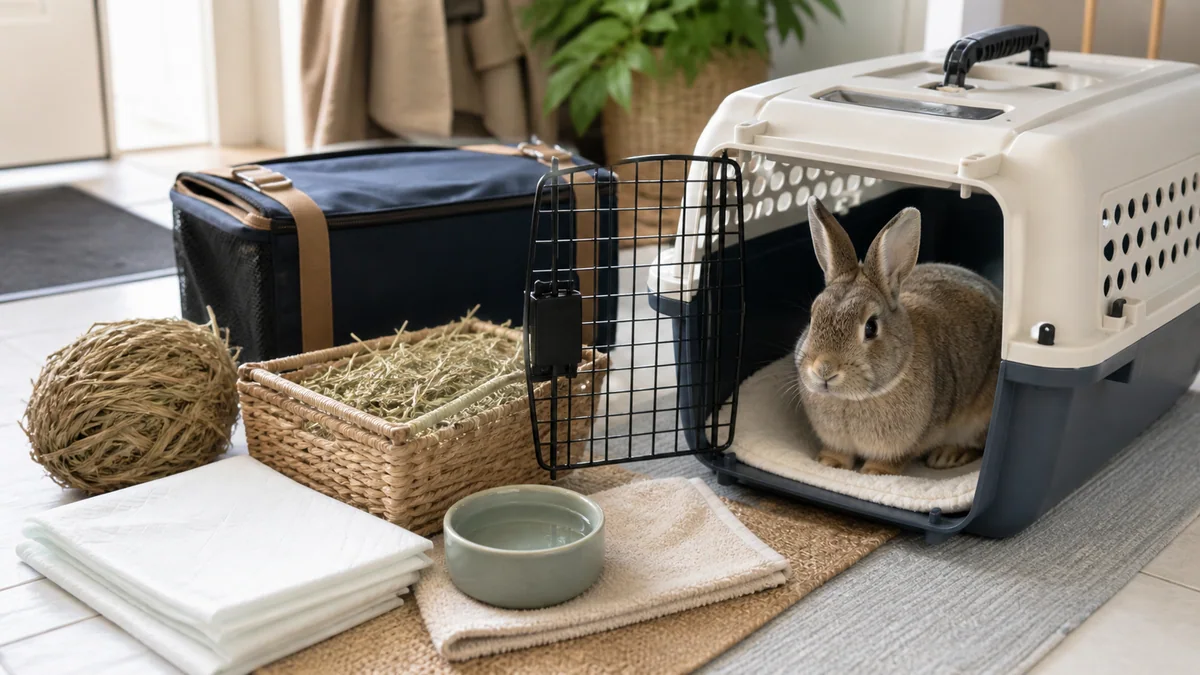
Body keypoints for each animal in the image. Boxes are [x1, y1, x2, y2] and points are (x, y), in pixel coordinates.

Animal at [794, 197, 1002, 476]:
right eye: (813, 316)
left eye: (871, 327)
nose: (824, 370)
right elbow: (838, 453)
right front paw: (829, 463)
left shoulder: (910, 442)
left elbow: (893, 459)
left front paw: (874, 472)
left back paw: (947, 456)